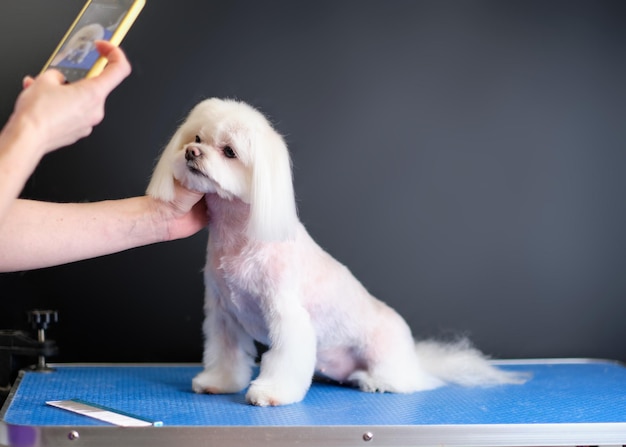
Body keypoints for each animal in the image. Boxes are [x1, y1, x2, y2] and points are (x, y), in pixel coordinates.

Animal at [147, 100, 528, 408]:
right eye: (196, 138)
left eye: (229, 151)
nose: (191, 153)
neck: (237, 239)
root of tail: (415, 360)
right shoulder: (224, 315)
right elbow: (226, 355)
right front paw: (219, 382)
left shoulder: (286, 315)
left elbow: (284, 358)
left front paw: (271, 393)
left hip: (385, 355)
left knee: (407, 383)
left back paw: (374, 381)